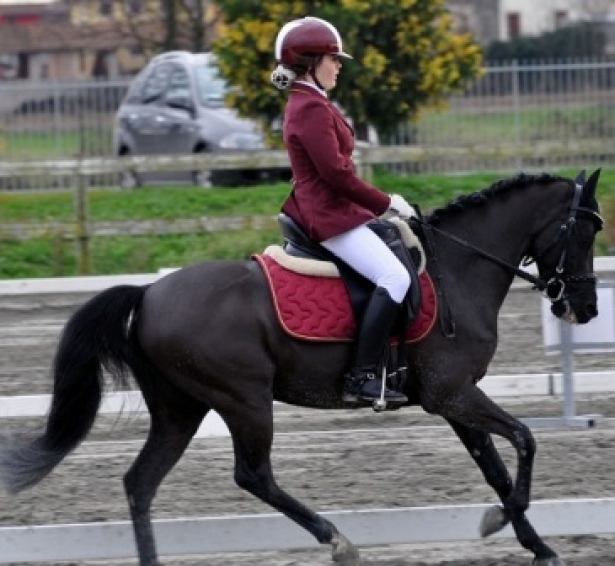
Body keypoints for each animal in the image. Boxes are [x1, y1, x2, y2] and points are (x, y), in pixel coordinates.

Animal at [0, 170, 604, 566]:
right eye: (586, 231)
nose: (586, 309)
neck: (461, 267)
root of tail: (148, 294)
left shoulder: (454, 399)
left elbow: (497, 468)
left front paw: (538, 545)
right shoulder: (452, 393)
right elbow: (525, 439)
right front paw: (503, 523)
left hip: (181, 408)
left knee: (141, 482)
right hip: (244, 399)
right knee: (253, 475)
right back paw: (337, 540)